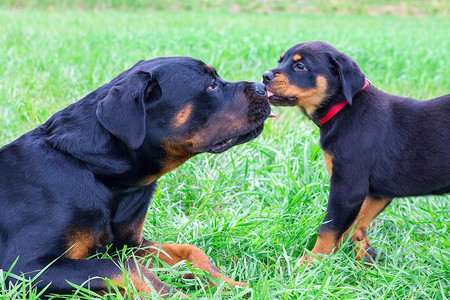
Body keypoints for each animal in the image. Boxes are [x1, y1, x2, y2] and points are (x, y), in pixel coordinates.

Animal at [0, 56, 270, 298]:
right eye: (211, 85)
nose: (263, 87)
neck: (96, 170)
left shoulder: (129, 245)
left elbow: (191, 251)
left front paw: (232, 285)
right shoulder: (24, 269)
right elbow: (127, 269)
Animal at [262, 41, 448, 264]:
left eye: (301, 66)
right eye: (281, 60)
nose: (264, 76)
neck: (343, 109)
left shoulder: (347, 188)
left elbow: (328, 228)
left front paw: (310, 262)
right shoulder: (377, 192)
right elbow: (355, 223)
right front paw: (362, 258)